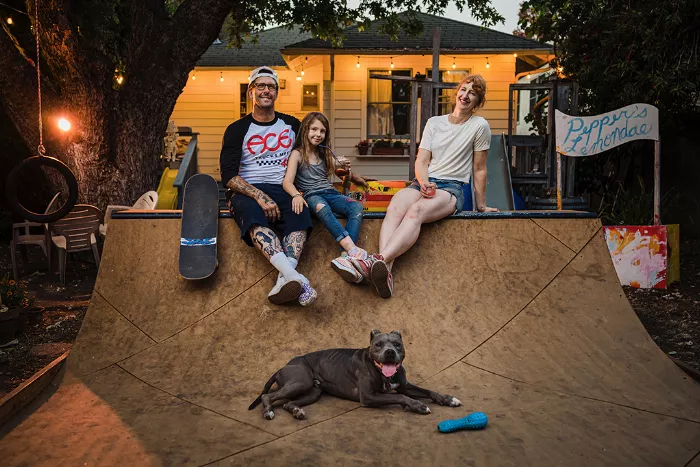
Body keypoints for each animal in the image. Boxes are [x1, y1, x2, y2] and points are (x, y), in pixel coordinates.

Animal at [249, 330, 462, 422]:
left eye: (397, 344)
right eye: (378, 344)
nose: (390, 352)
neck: (383, 373)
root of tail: (283, 366)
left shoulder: (405, 385)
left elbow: (427, 391)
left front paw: (447, 399)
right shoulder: (369, 396)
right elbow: (401, 396)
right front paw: (417, 406)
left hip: (312, 391)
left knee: (287, 403)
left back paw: (297, 411)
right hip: (301, 381)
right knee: (268, 396)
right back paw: (268, 411)